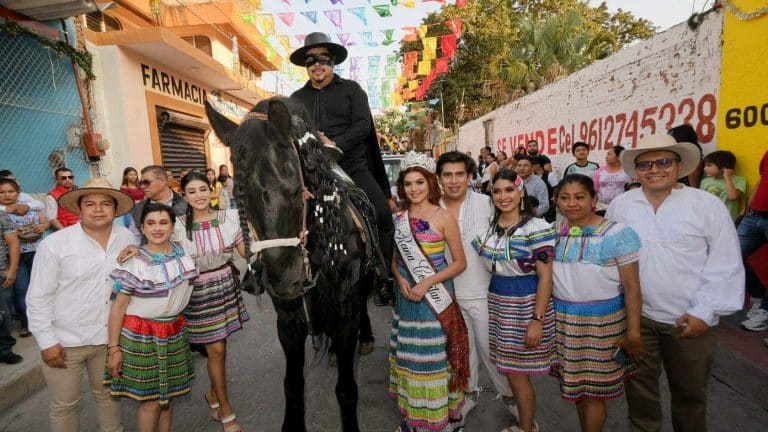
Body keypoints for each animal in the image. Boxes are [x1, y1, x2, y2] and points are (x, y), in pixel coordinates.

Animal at [206, 98, 382, 432]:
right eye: (239, 194)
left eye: (295, 189)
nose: (285, 281)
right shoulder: (288, 317)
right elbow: (292, 383)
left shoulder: (346, 305)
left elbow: (346, 388)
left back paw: (365, 337)